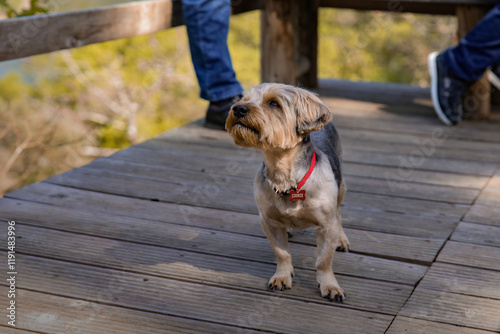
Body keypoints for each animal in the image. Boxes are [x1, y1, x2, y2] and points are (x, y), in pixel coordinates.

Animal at [225, 83, 350, 302]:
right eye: (244, 99)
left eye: (274, 103)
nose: (238, 109)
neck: (285, 176)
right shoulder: (268, 221)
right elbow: (282, 253)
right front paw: (282, 277)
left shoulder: (327, 226)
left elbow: (323, 260)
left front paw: (330, 285)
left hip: (341, 185)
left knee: (339, 212)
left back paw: (342, 239)